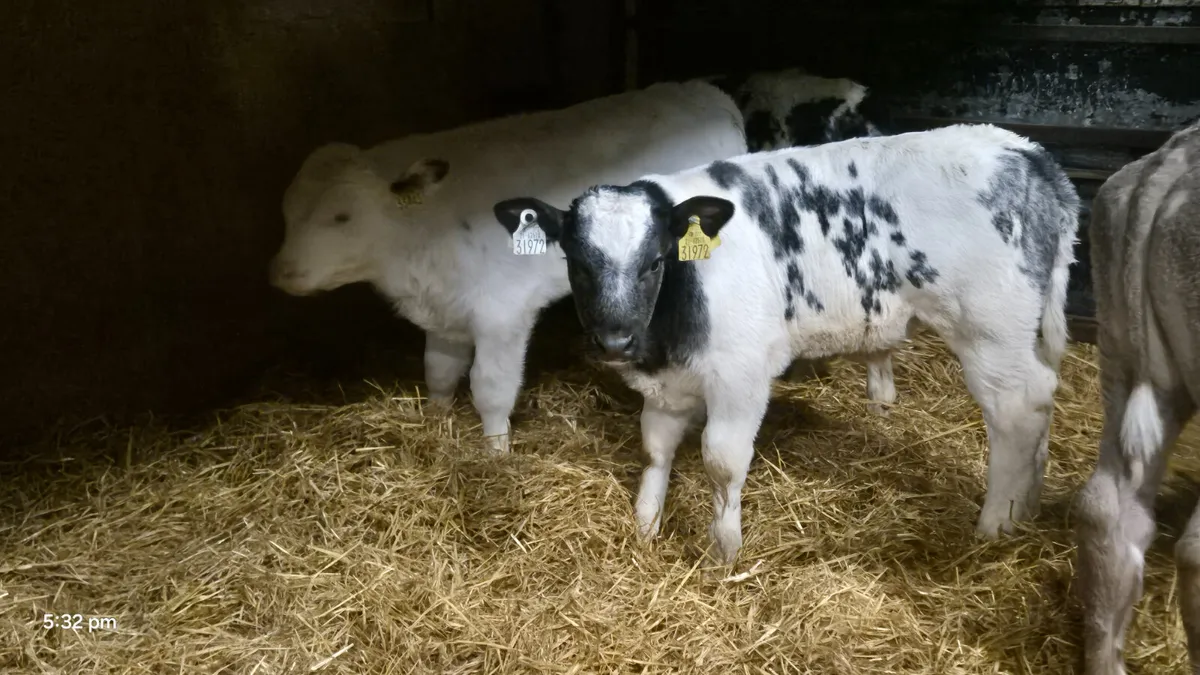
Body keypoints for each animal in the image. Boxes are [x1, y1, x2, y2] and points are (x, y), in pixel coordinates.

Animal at [268, 79, 747, 454]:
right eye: (286, 210)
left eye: (341, 217)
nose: (281, 271)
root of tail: (706, 90)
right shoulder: (444, 313)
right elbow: (438, 373)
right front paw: (435, 421)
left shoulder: (502, 315)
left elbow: (490, 389)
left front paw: (496, 453)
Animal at [493, 123, 1080, 564]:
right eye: (576, 263)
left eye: (655, 261)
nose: (615, 340)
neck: (668, 330)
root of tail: (1028, 154)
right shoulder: (670, 383)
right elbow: (655, 447)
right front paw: (645, 524)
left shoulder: (740, 374)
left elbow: (721, 460)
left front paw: (725, 549)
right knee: (1044, 398)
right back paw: (1027, 504)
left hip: (990, 331)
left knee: (1019, 407)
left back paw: (996, 523)